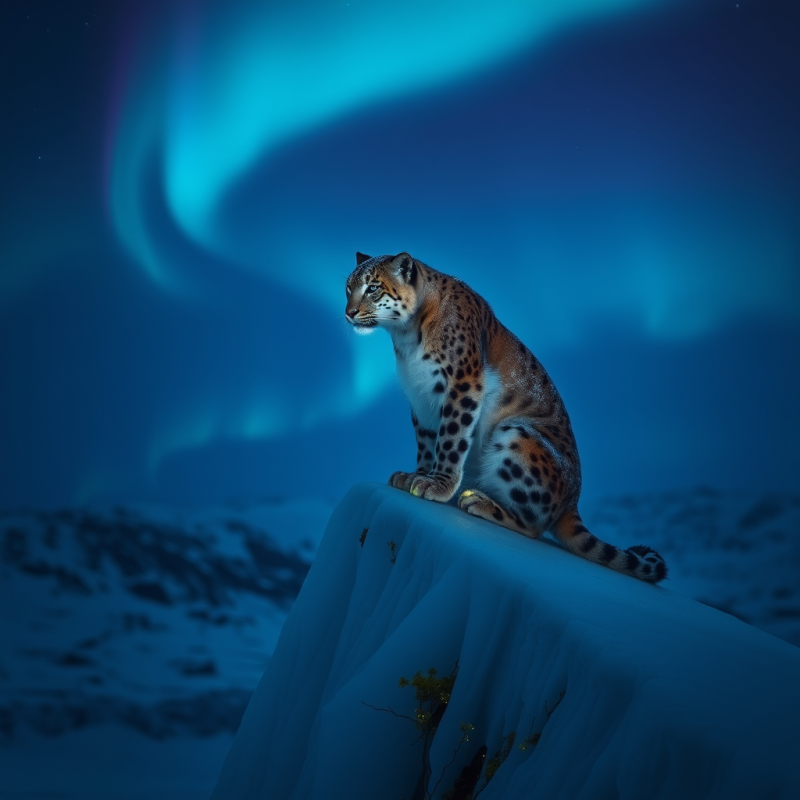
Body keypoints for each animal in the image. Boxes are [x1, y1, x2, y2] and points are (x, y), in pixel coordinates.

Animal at [345, 251, 667, 583]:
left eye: (372, 288)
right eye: (348, 287)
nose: (349, 312)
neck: (405, 336)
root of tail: (573, 501)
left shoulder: (462, 385)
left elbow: (451, 439)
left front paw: (438, 485)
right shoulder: (421, 399)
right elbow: (427, 442)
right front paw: (417, 475)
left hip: (517, 434)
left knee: (535, 526)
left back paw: (479, 501)